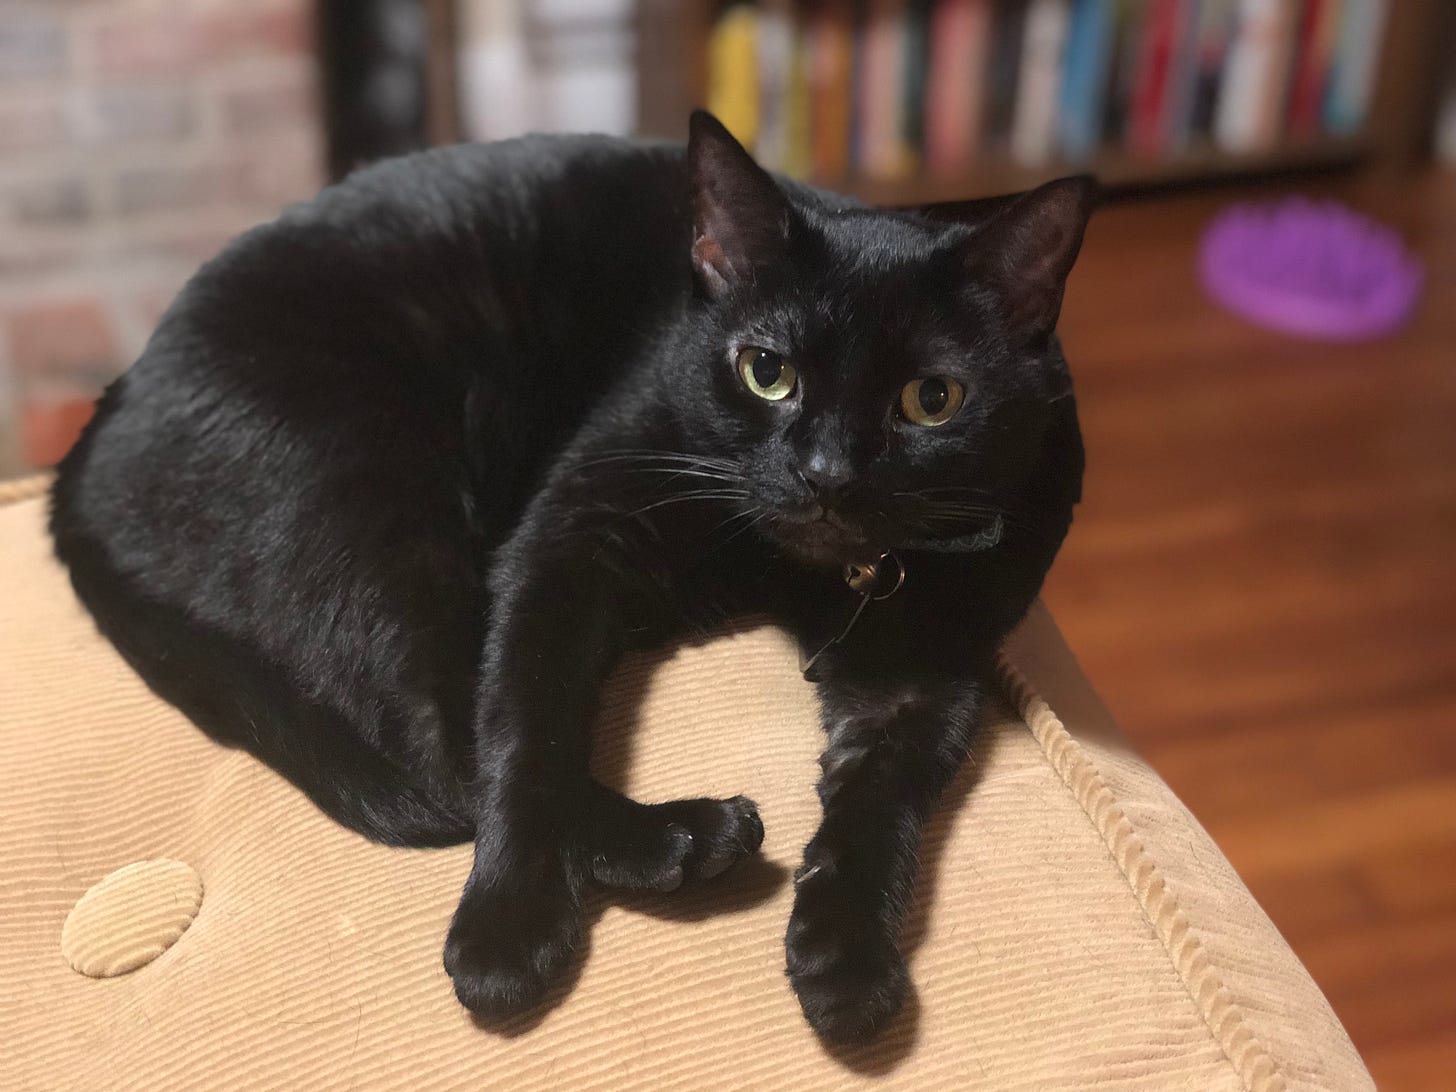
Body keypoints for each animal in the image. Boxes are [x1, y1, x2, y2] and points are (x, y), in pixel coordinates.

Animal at [49, 111, 1092, 1042]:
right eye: (767, 373)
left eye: (932, 400)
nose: (827, 474)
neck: (797, 571)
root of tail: (103, 417)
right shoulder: (566, 543)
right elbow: (526, 729)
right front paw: (505, 931)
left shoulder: (922, 671)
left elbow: (886, 808)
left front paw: (848, 961)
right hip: (375, 512)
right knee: (442, 743)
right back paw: (684, 840)